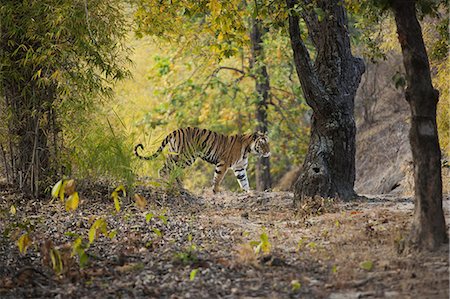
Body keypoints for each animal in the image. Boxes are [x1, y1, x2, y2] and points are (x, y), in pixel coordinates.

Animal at [134, 127, 270, 193]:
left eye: (268, 143)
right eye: (262, 144)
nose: (268, 152)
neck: (248, 150)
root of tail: (176, 130)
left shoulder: (240, 168)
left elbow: (244, 181)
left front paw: (248, 192)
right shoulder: (223, 163)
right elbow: (217, 178)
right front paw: (216, 191)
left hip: (176, 155)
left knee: (167, 169)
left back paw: (174, 185)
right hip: (185, 157)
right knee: (168, 170)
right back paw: (172, 184)